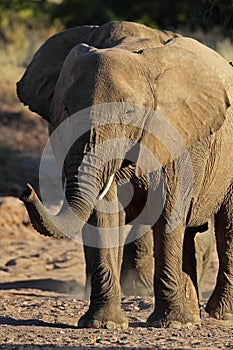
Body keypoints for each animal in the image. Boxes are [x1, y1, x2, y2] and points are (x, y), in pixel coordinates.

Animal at [17, 21, 233, 328]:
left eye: (129, 113)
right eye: (67, 109)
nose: (26, 190)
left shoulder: (178, 134)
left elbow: (168, 210)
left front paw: (171, 324)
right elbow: (104, 215)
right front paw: (103, 324)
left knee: (226, 227)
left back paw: (221, 315)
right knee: (191, 233)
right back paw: (193, 317)